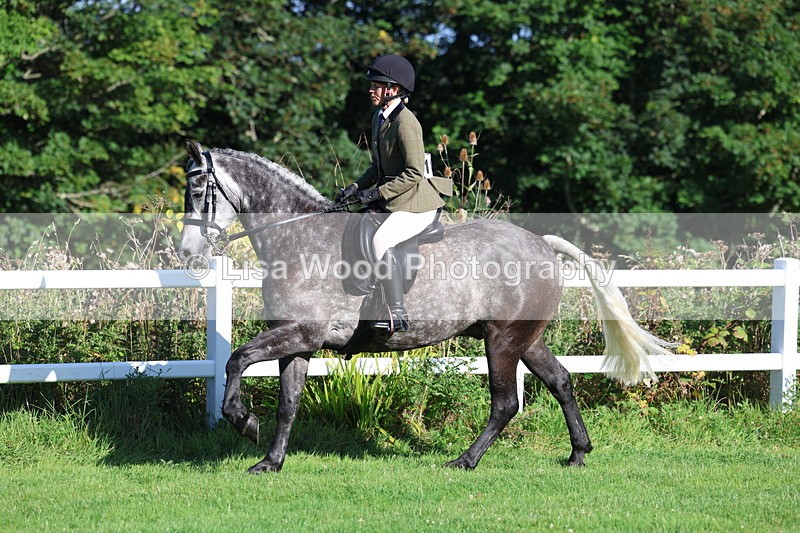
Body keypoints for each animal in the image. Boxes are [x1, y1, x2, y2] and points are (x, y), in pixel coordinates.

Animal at [178, 141, 674, 474]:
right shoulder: (299, 340)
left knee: (505, 403)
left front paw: (243, 421)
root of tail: (541, 243)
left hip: (502, 339)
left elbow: (237, 359)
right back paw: (577, 453)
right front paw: (270, 461)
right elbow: (289, 402)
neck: (297, 236)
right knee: (560, 381)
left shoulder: (301, 332)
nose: (187, 255)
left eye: (200, 190)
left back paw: (465, 460)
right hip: (525, 338)